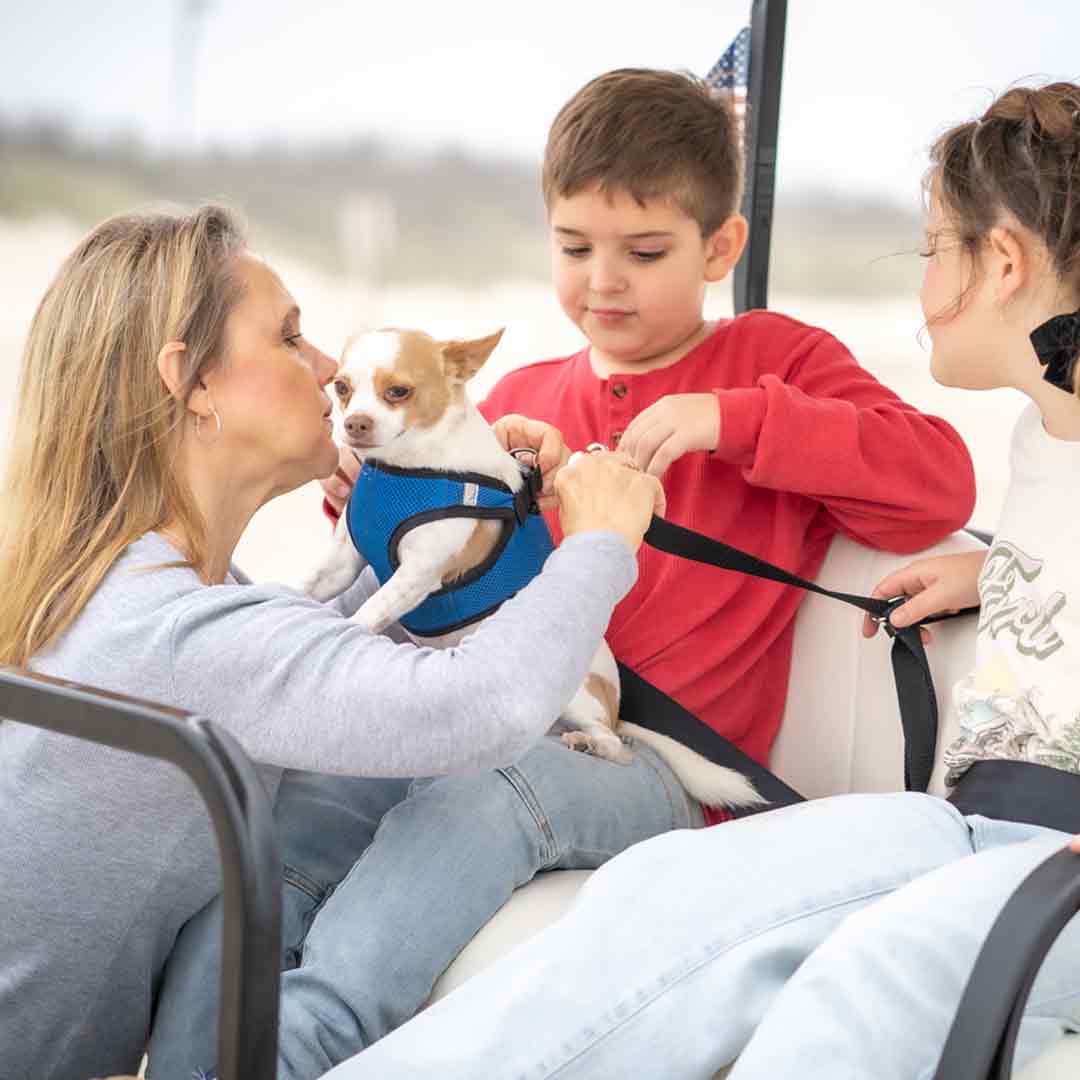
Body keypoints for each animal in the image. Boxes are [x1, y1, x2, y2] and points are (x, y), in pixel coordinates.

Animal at [300, 328, 764, 812]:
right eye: (341, 387)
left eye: (398, 392)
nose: (355, 424)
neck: (406, 468)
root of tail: (615, 711)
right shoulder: (342, 562)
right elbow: (311, 586)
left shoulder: (418, 575)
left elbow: (368, 612)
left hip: (578, 698)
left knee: (618, 749)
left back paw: (591, 743)